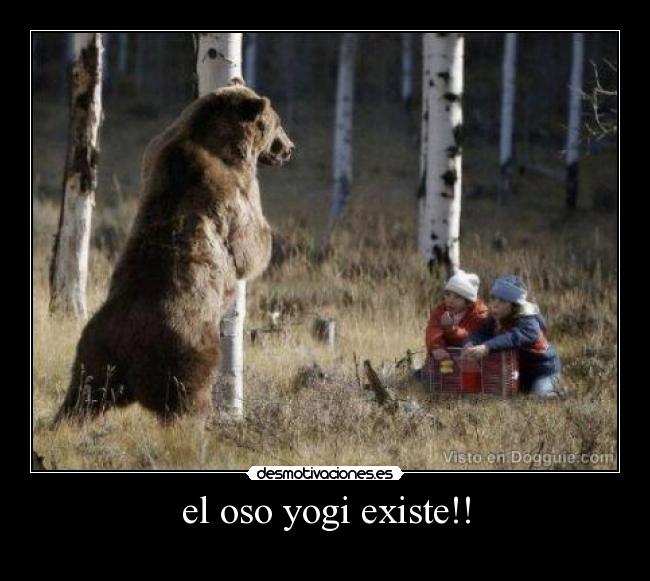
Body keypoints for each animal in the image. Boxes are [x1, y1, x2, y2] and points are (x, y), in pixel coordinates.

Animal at [52, 82, 294, 425]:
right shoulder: (231, 187)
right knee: (187, 399)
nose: (289, 148)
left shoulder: (156, 150)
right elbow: (249, 243)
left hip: (94, 355)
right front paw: (266, 241)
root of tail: (127, 344)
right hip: (186, 349)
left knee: (81, 397)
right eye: (278, 123)